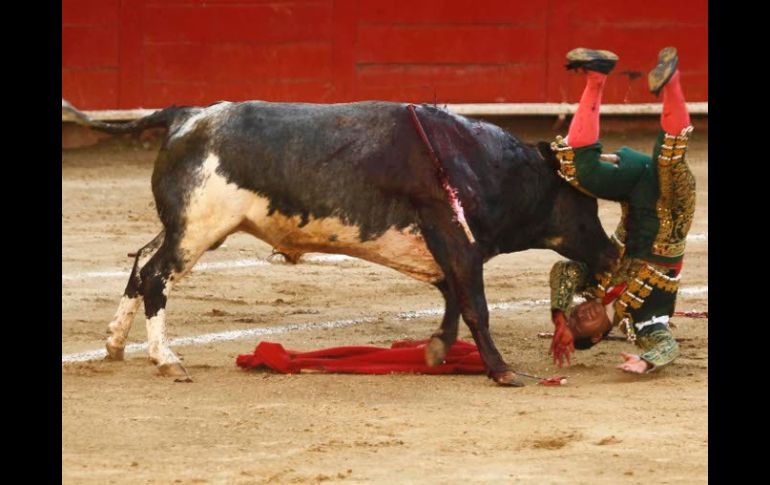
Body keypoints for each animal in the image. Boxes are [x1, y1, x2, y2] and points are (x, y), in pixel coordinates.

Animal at [66, 101, 616, 386]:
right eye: (585, 203)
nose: (613, 254)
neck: (486, 165)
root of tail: (189, 115)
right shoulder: (456, 241)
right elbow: (474, 306)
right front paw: (502, 372)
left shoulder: (440, 250)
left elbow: (451, 299)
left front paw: (436, 350)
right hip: (198, 229)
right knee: (157, 275)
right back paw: (167, 360)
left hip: (186, 225)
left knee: (141, 262)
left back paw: (114, 344)